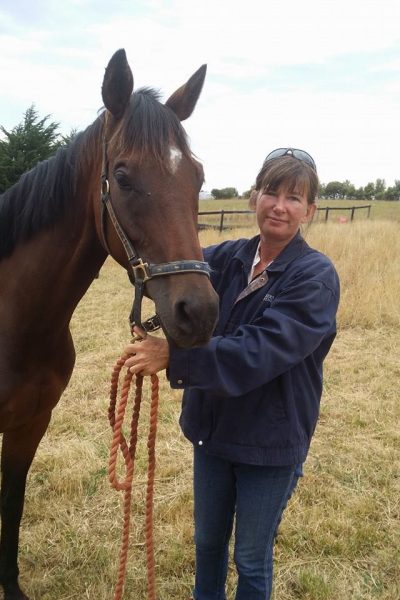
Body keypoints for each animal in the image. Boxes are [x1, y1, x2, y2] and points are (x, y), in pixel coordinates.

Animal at [0, 48, 219, 600]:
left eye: (198, 177)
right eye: (121, 176)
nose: (200, 312)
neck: (16, 326)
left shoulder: (30, 424)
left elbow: (11, 504)